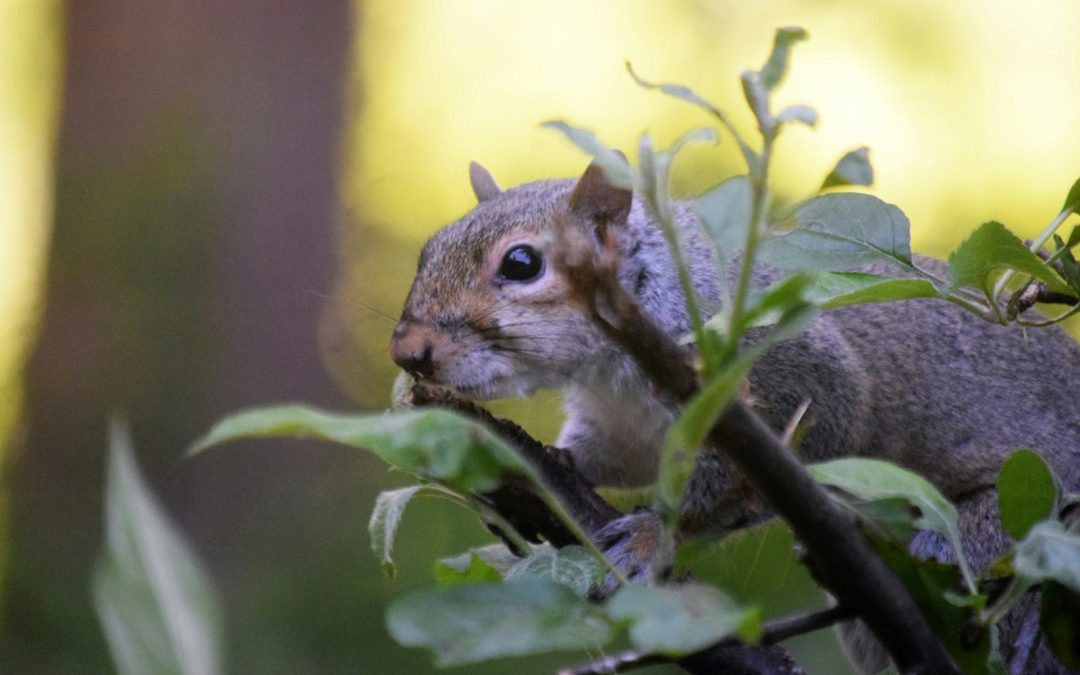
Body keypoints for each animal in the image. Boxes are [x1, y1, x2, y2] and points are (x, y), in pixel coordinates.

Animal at [388, 158, 1080, 673]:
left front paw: (651, 537)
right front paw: (523, 464)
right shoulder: (619, 420)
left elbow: (763, 469)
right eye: (428, 250)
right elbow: (607, 457)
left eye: (522, 264)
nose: (407, 352)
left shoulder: (789, 380)